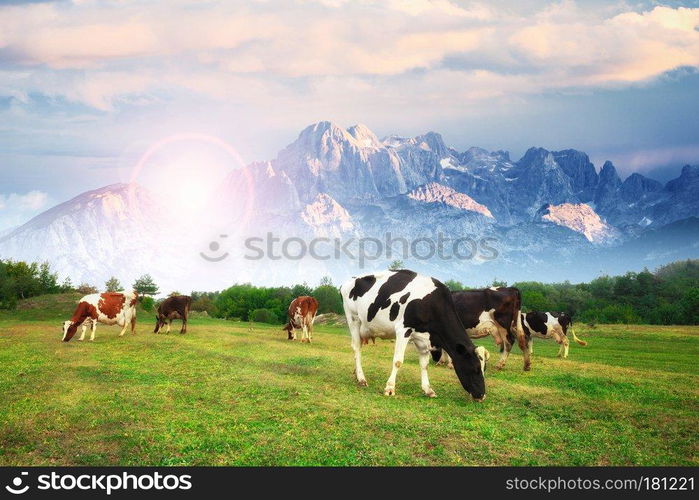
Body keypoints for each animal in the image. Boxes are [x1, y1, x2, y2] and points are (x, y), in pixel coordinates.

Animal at [340, 270, 486, 402]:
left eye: (484, 368)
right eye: (476, 369)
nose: (482, 395)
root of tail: (349, 281)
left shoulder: (423, 339)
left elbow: (424, 364)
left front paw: (428, 389)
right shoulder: (403, 329)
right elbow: (398, 361)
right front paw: (390, 388)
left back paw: (356, 374)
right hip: (353, 319)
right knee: (357, 349)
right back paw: (361, 379)